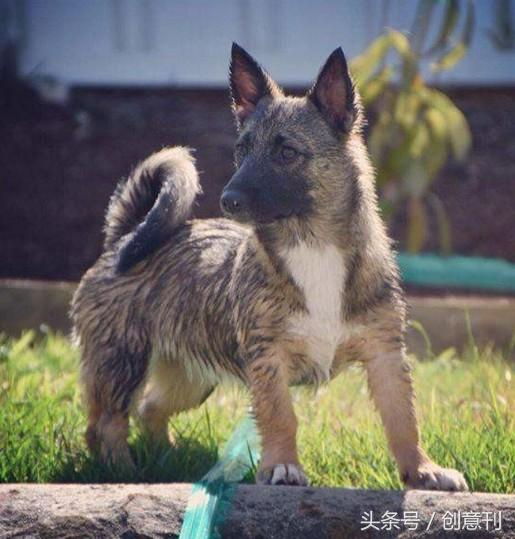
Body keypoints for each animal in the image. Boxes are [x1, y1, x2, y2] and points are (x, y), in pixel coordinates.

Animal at [70, 44, 470, 492]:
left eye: (287, 153)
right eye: (241, 150)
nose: (227, 200)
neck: (311, 247)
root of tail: (123, 237)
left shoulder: (385, 355)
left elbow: (403, 419)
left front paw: (422, 471)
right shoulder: (268, 361)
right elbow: (280, 416)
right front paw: (282, 466)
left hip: (190, 377)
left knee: (151, 408)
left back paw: (166, 461)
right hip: (121, 363)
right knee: (106, 424)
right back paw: (122, 472)